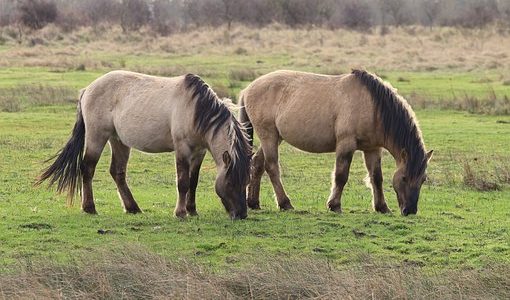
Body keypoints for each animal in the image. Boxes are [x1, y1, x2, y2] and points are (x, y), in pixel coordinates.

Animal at [36, 71, 250, 220]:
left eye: (246, 182)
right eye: (230, 183)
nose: (241, 214)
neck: (196, 110)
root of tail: (87, 89)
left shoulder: (199, 152)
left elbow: (193, 182)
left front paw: (192, 210)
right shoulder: (182, 149)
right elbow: (182, 182)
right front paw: (180, 212)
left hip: (118, 140)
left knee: (117, 172)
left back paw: (132, 208)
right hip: (97, 137)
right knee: (87, 168)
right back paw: (90, 208)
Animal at [241, 70, 432, 216]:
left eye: (423, 179)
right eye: (404, 177)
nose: (410, 210)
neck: (373, 106)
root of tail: (248, 88)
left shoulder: (372, 149)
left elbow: (376, 178)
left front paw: (382, 207)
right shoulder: (346, 145)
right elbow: (341, 176)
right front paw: (335, 205)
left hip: (275, 138)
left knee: (257, 164)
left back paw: (253, 202)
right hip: (269, 136)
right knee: (271, 167)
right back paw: (285, 203)